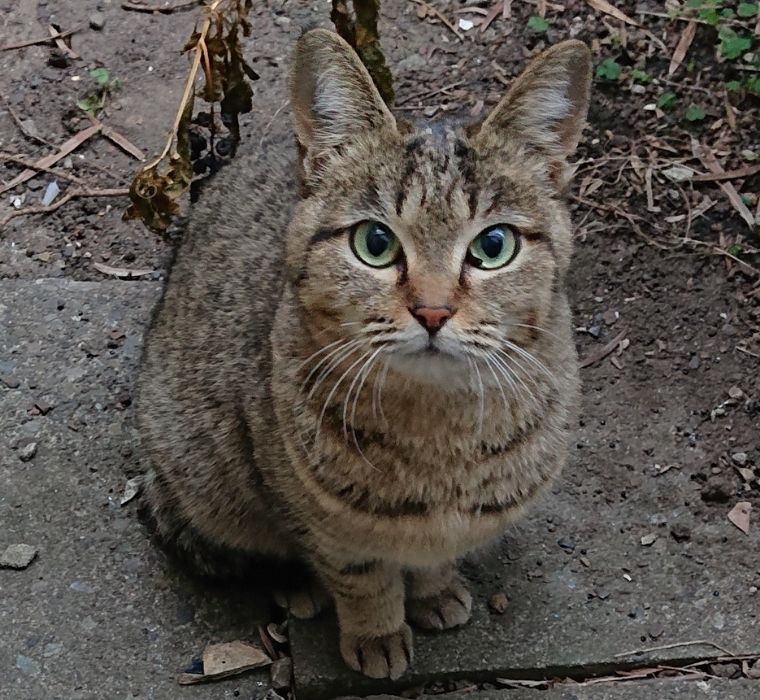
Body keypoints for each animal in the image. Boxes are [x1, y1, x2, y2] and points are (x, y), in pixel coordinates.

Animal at [137, 27, 592, 680]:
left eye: (494, 246)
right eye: (375, 243)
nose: (433, 312)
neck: (436, 435)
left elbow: (432, 557)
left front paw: (434, 591)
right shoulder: (310, 510)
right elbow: (358, 572)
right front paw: (377, 633)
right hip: (199, 467)